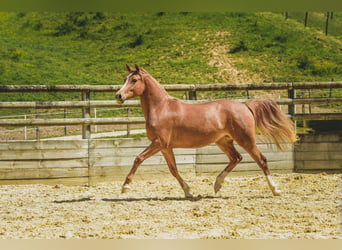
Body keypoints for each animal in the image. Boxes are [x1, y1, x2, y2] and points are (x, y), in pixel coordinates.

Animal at [115, 64, 296, 197]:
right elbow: (174, 170)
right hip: (223, 141)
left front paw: (125, 187)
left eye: (134, 80)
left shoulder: (158, 143)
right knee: (236, 158)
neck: (161, 108)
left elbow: (138, 158)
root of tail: (245, 106)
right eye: (125, 79)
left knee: (261, 160)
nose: (118, 96)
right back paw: (217, 185)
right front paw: (188, 192)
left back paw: (275, 190)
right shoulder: (165, 147)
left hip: (246, 140)